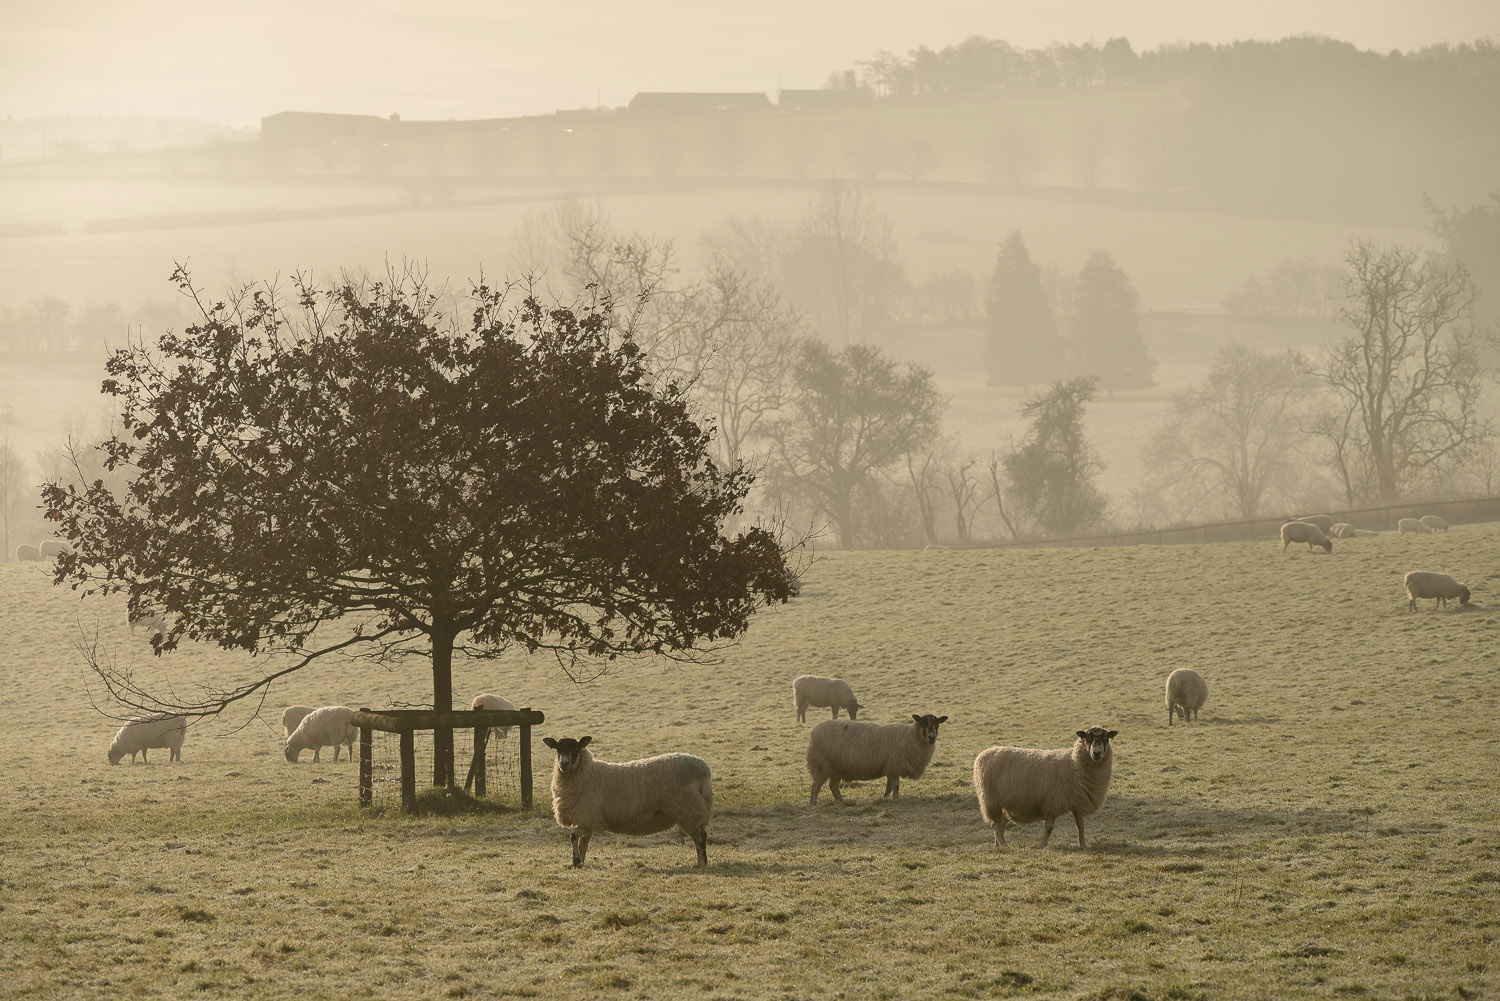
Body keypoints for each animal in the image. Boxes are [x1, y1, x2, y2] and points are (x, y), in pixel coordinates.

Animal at [540, 735, 714, 870]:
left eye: (575, 748)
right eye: (558, 749)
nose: (564, 764)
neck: (588, 774)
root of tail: (704, 769)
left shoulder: (589, 819)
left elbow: (573, 836)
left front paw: (576, 861)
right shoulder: (588, 820)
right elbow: (584, 843)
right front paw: (581, 862)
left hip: (688, 809)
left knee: (700, 837)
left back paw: (702, 863)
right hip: (690, 810)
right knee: (700, 836)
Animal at [810, 711, 948, 804]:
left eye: (937, 724)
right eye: (923, 723)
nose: (932, 737)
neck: (912, 736)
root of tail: (814, 732)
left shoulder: (890, 767)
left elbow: (889, 787)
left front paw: (885, 798)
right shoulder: (894, 766)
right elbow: (895, 786)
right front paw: (896, 800)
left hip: (836, 768)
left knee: (833, 785)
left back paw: (841, 801)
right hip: (821, 765)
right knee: (816, 786)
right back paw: (813, 804)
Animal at [972, 723, 1116, 852]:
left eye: (1106, 739)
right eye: (1087, 738)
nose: (1096, 753)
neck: (1074, 764)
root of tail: (984, 753)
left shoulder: (1078, 803)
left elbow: (1081, 826)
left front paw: (1083, 845)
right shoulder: (1052, 804)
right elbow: (1049, 828)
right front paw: (1042, 845)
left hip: (1004, 804)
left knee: (999, 825)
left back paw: (998, 845)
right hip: (991, 801)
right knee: (996, 826)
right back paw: (1004, 845)